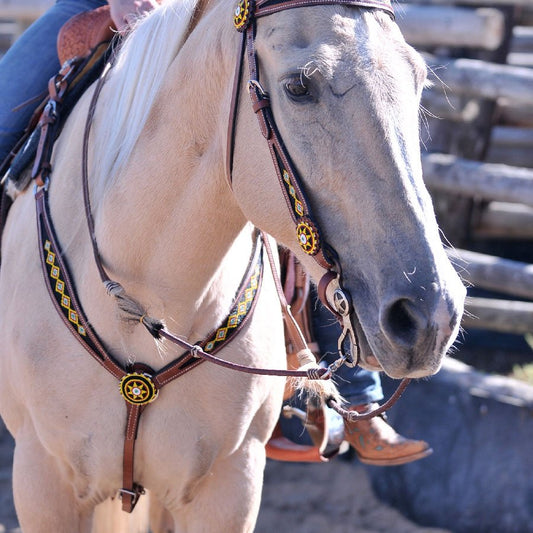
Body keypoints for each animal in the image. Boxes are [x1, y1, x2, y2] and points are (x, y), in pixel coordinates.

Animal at [0, 0, 462, 528]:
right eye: (298, 87)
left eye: (418, 79)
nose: (429, 315)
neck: (144, 308)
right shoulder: (43, 483)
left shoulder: (229, 487)